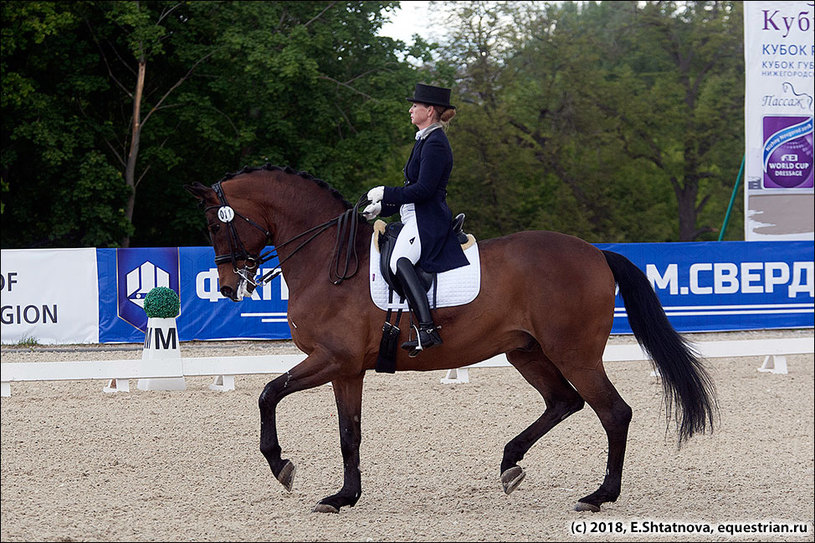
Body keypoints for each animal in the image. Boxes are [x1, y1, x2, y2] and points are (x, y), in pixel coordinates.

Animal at [183, 165, 712, 516]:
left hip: (574, 353)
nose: (228, 288)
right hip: (526, 351)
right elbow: (349, 432)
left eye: (213, 224)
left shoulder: (330, 359)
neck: (327, 262)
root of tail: (597, 253)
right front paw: (344, 497)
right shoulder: (347, 369)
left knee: (613, 412)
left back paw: (600, 495)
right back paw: (510, 464)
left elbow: (268, 393)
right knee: (564, 402)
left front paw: (281, 466)